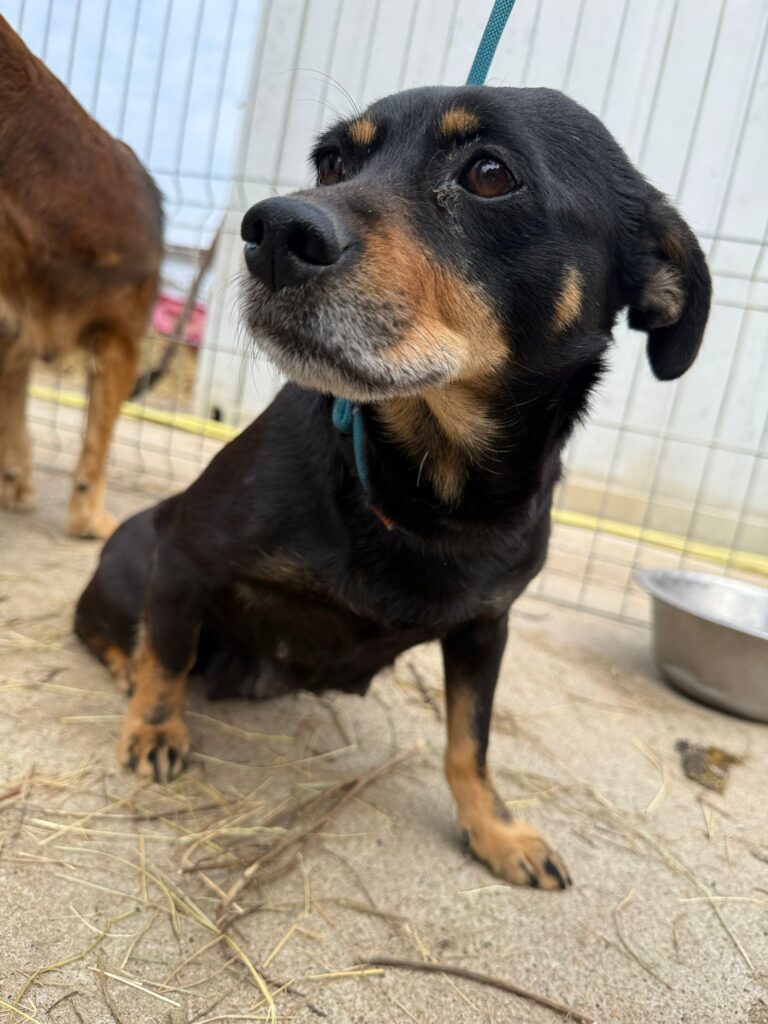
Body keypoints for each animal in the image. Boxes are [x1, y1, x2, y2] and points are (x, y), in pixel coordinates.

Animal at [0, 17, 162, 538]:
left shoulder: (16, 332)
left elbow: (15, 417)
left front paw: (16, 483)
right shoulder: (121, 342)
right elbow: (98, 440)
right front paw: (89, 518)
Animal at [75, 86, 710, 888]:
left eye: (491, 174)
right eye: (331, 163)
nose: (273, 232)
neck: (432, 486)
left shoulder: (486, 628)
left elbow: (470, 742)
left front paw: (495, 830)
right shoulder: (187, 550)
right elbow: (167, 652)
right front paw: (155, 728)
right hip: (135, 551)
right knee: (118, 629)